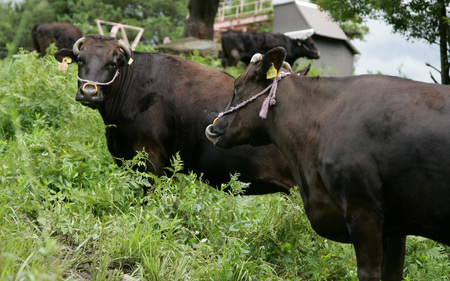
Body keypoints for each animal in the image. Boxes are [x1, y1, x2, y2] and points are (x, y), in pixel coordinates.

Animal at [207, 47, 450, 278]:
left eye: (237, 86)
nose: (214, 127)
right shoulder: (396, 224)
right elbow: (393, 272)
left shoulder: (362, 210)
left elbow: (369, 271)